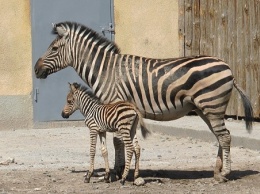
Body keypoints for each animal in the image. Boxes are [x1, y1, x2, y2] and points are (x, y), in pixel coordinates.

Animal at [33, 22, 253, 183]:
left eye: (54, 48)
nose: (35, 69)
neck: (105, 71)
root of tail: (227, 66)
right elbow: (120, 141)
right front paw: (120, 171)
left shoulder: (116, 103)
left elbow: (118, 141)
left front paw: (118, 171)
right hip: (205, 108)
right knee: (220, 136)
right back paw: (217, 172)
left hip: (211, 105)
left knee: (225, 137)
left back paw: (225, 173)